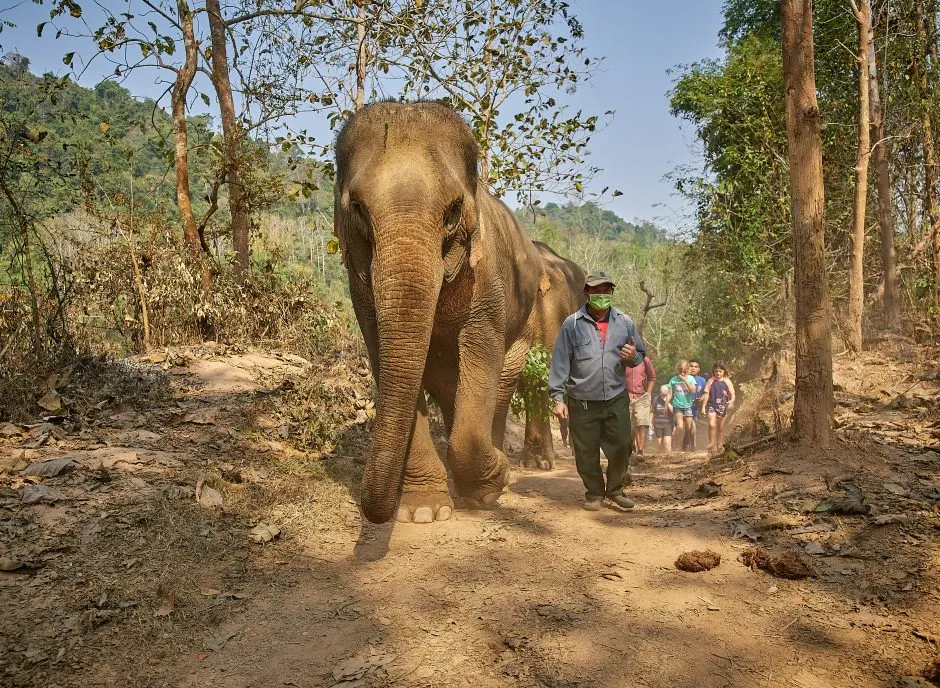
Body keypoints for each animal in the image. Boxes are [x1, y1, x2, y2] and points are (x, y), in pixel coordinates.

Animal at [334, 101, 585, 524]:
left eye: (453, 210)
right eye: (358, 210)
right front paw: (424, 511)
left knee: (509, 381)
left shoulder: (487, 280)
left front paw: (495, 480)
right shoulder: (359, 286)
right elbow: (387, 357)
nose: (374, 512)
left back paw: (507, 473)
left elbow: (481, 350)